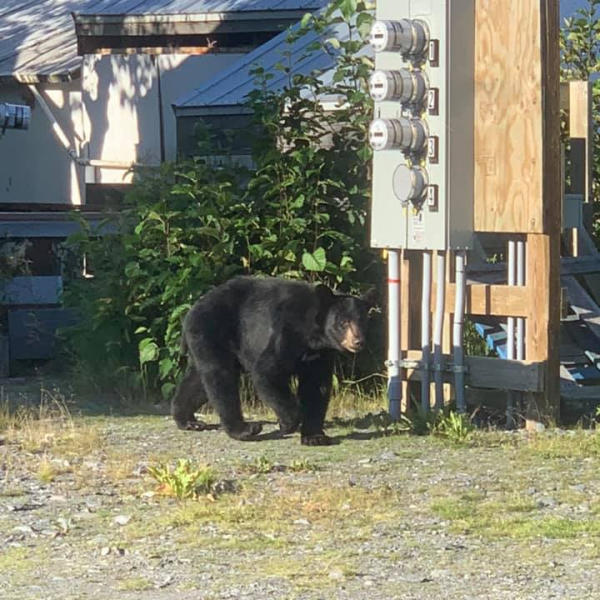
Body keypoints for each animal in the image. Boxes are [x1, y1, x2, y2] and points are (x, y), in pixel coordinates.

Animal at [171, 276, 372, 446]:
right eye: (343, 322)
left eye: (362, 321)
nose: (358, 341)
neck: (313, 336)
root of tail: (191, 311)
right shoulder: (287, 331)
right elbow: (267, 372)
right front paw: (287, 422)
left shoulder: (320, 355)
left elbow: (316, 387)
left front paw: (314, 437)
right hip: (212, 330)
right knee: (220, 377)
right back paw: (244, 429)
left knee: (198, 381)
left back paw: (187, 420)